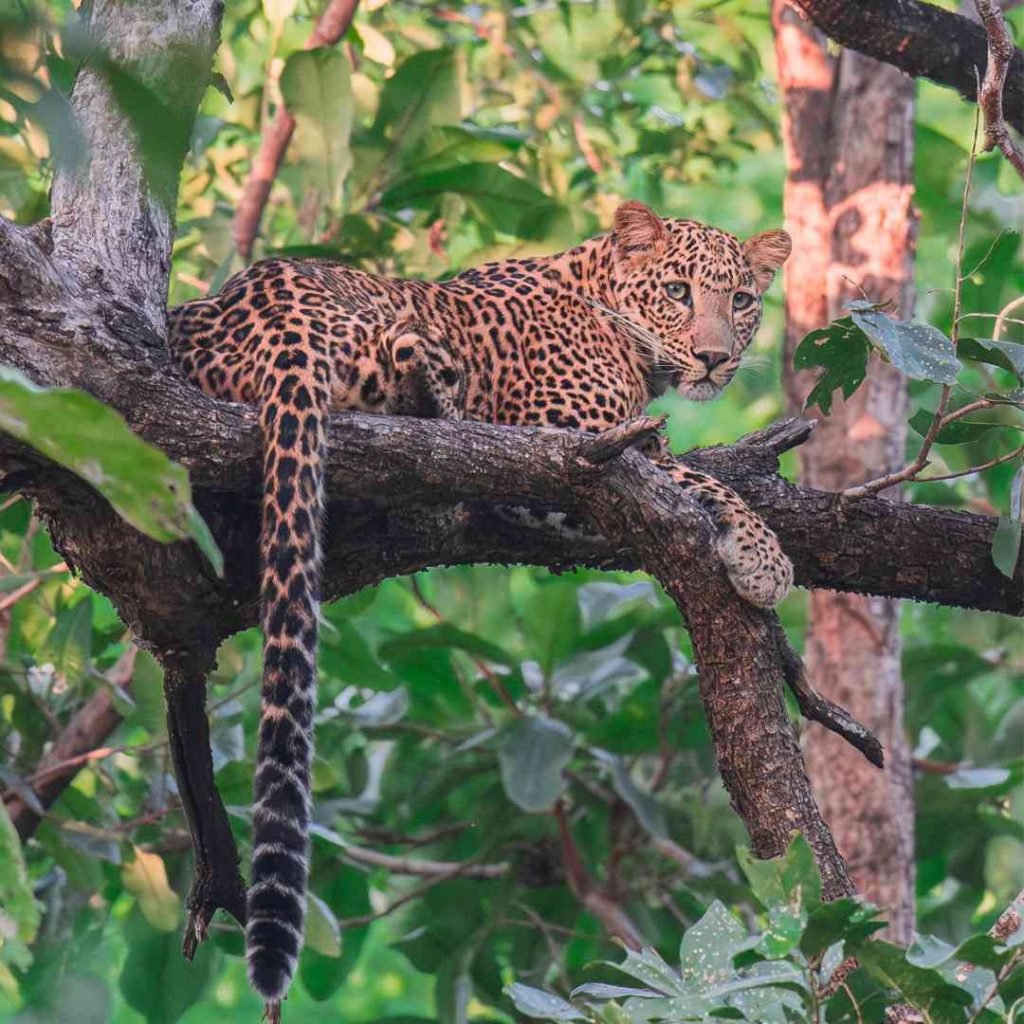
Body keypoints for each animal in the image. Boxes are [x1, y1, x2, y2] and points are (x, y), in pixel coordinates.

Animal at [165, 199, 790, 1015]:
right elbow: (699, 476)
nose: (715, 359)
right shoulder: (572, 446)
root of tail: (272, 312)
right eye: (678, 292)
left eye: (741, 300)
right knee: (406, 366)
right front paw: (764, 557)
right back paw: (441, 386)